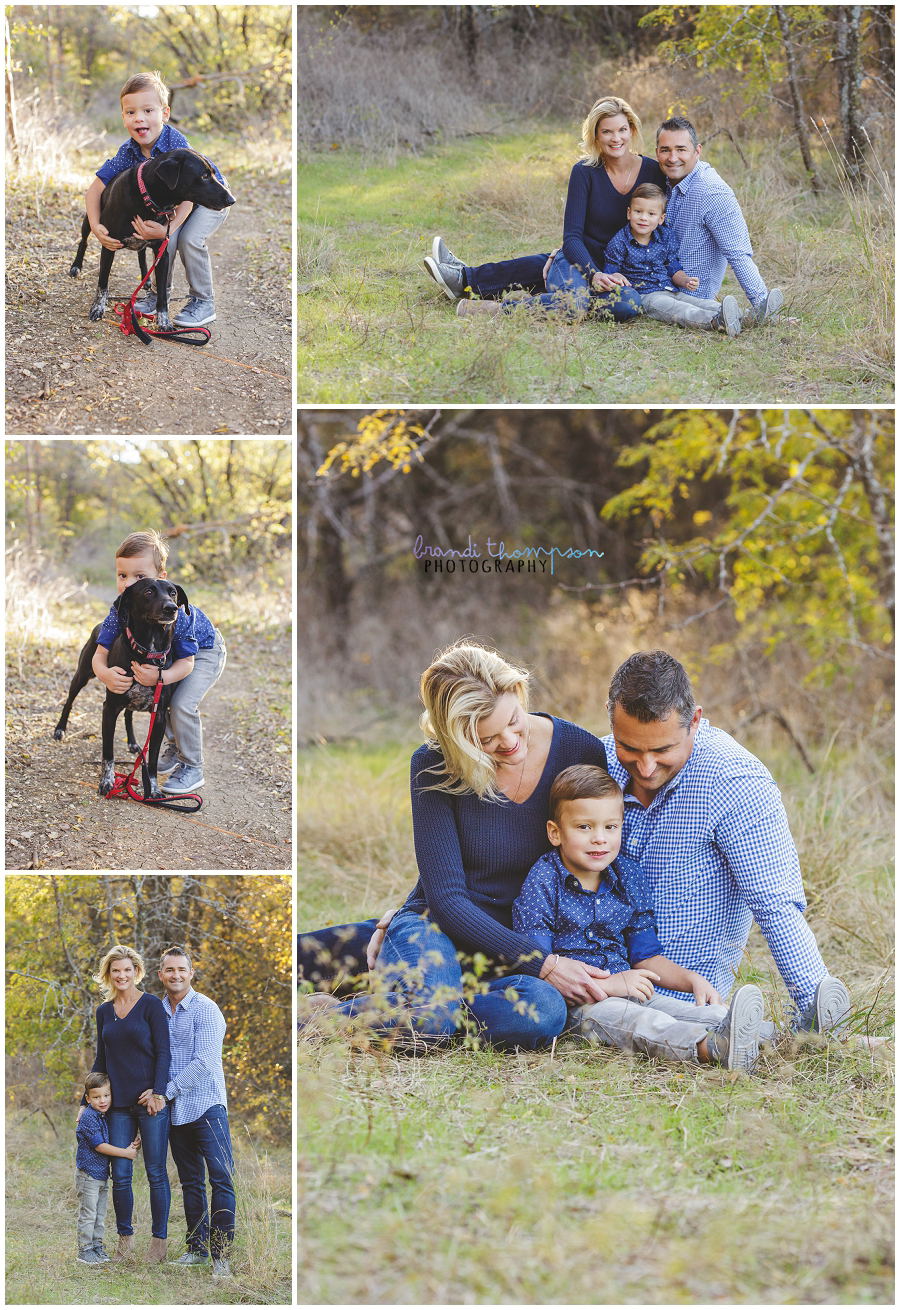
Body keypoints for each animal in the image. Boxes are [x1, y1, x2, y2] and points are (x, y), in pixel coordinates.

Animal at [52, 581, 189, 796]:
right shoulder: (109, 709)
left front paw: (153, 789)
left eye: (173, 593)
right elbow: (108, 754)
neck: (148, 653)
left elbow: (151, 759)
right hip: (82, 675)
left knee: (128, 714)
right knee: (69, 702)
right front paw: (107, 782)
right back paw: (60, 729)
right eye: (148, 592)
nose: (171, 608)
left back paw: (132, 742)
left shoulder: (158, 716)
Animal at [69, 148, 235, 332]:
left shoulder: (162, 252)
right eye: (204, 176)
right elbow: (103, 284)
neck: (147, 197)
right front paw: (98, 308)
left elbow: (162, 294)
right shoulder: (109, 245)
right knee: (83, 241)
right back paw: (76, 267)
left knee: (141, 254)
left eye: (212, 173)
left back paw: (146, 279)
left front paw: (163, 322)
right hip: (89, 221)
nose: (232, 200)